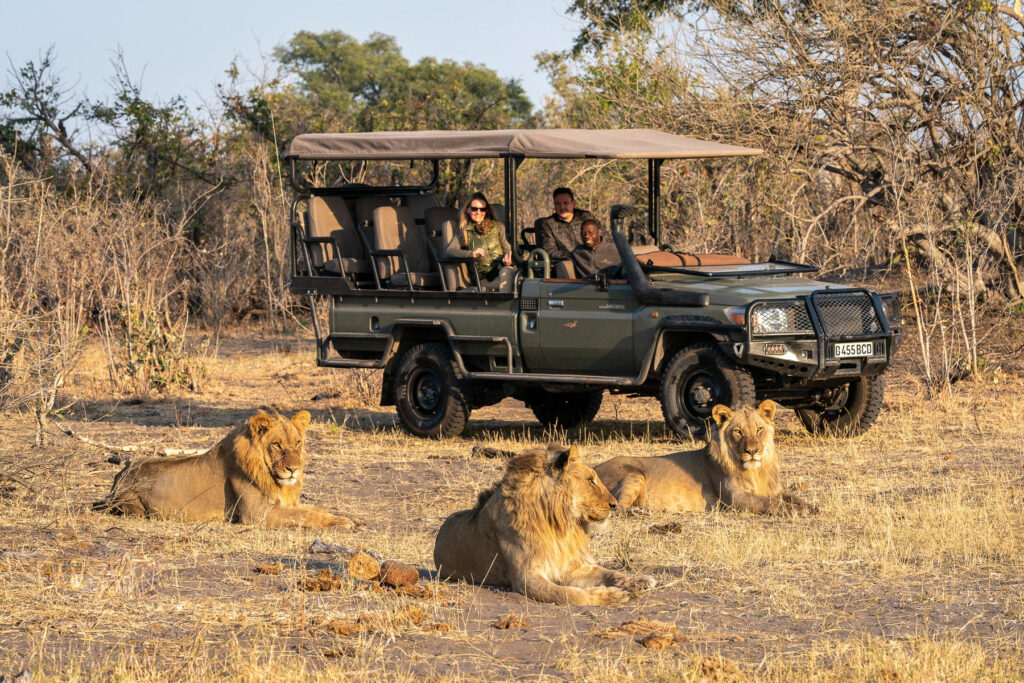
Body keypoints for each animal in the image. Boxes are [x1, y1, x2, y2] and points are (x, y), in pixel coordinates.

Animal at [92, 409, 362, 532]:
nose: (294, 470)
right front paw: (343, 522)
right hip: (134, 506)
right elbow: (305, 516)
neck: (272, 476)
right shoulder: (257, 514)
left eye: (297, 443)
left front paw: (351, 518)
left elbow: (313, 510)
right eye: (277, 445)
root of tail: (120, 475)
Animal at [432, 446, 655, 606]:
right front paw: (609, 596)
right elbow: (568, 595)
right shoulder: (526, 579)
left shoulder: (571, 566)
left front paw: (638, 581)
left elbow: (610, 572)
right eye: (591, 480)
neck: (559, 526)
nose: (614, 505)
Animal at [593, 401, 815, 511]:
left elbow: (791, 497)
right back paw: (641, 511)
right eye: (738, 432)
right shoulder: (735, 499)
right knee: (616, 509)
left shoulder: (771, 490)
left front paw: (811, 507)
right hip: (634, 475)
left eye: (759, 429)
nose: (752, 451)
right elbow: (770, 503)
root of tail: (592, 468)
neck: (756, 471)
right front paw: (796, 510)